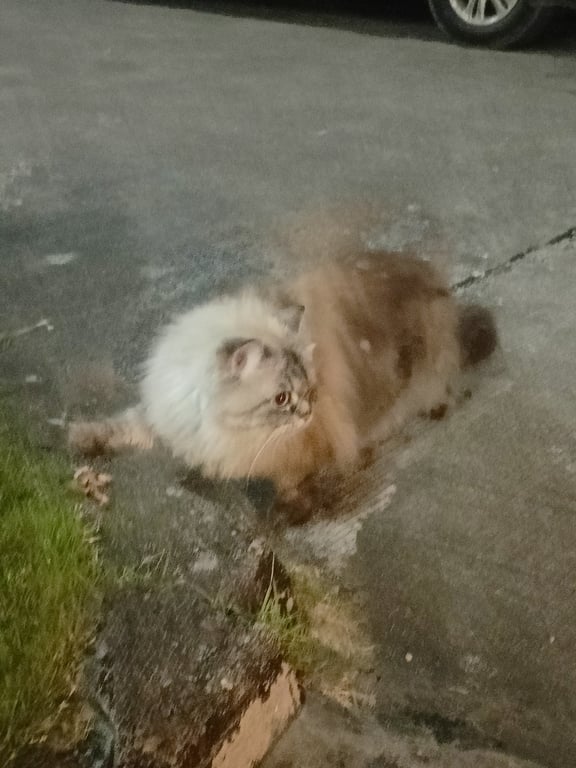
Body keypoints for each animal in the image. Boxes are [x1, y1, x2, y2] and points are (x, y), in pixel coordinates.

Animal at [69, 251, 497, 514]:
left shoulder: (297, 449)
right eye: (281, 398)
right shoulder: (165, 413)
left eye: (308, 392)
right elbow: (121, 426)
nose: (306, 412)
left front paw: (292, 507)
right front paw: (83, 439)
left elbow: (291, 479)